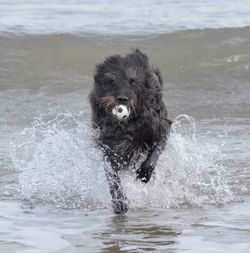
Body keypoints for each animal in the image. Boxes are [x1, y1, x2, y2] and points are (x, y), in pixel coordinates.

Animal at [88, 49, 172, 213]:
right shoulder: (109, 145)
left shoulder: (161, 128)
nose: (122, 99)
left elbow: (155, 152)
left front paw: (144, 174)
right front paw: (119, 202)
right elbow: (112, 175)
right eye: (111, 81)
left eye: (133, 81)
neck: (128, 124)